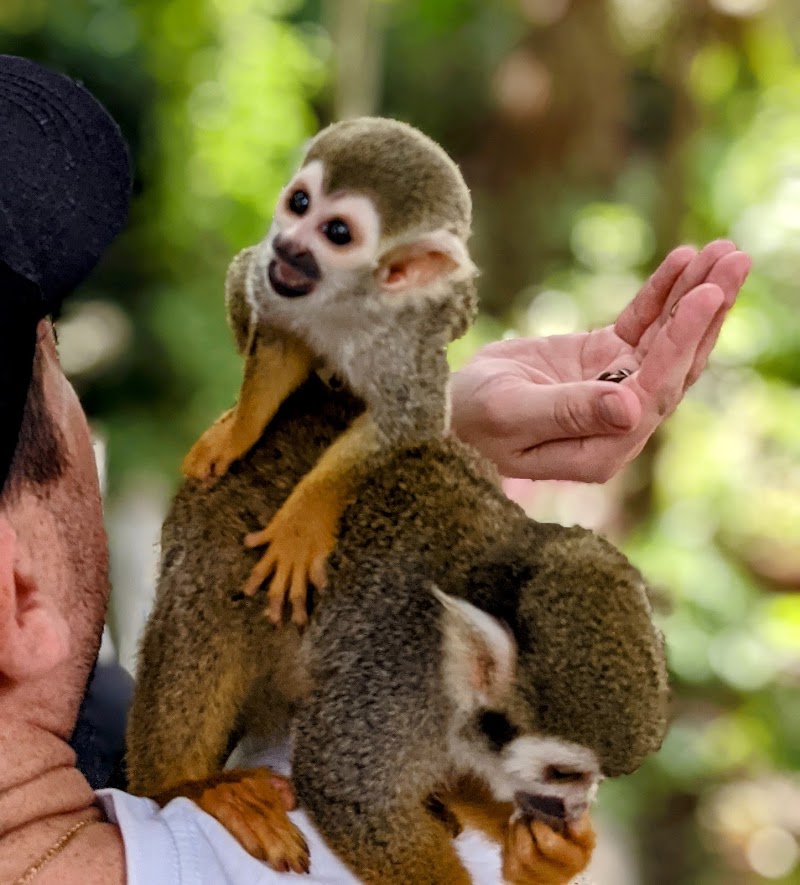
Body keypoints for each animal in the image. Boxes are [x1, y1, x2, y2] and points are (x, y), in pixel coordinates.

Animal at [180, 117, 478, 626]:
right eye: (300, 203)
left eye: (337, 232)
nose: (287, 245)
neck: (346, 299)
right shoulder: (277, 282)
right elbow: (279, 341)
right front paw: (237, 433)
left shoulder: (407, 345)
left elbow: (410, 420)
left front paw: (303, 520)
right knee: (245, 271)